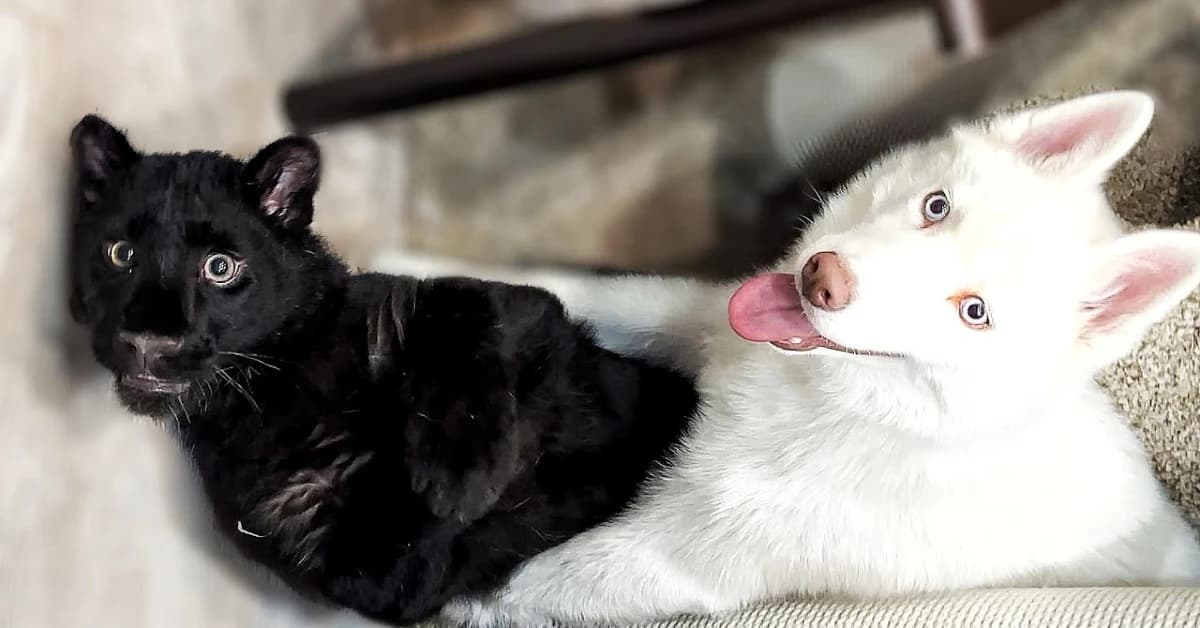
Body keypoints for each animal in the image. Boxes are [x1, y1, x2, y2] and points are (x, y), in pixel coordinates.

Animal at [374, 89, 1200, 628]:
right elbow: (594, 291)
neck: (833, 396)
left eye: (975, 313)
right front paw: (413, 268)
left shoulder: (681, 557)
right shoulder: (701, 319)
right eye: (935, 207)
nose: (820, 278)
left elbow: (529, 579)